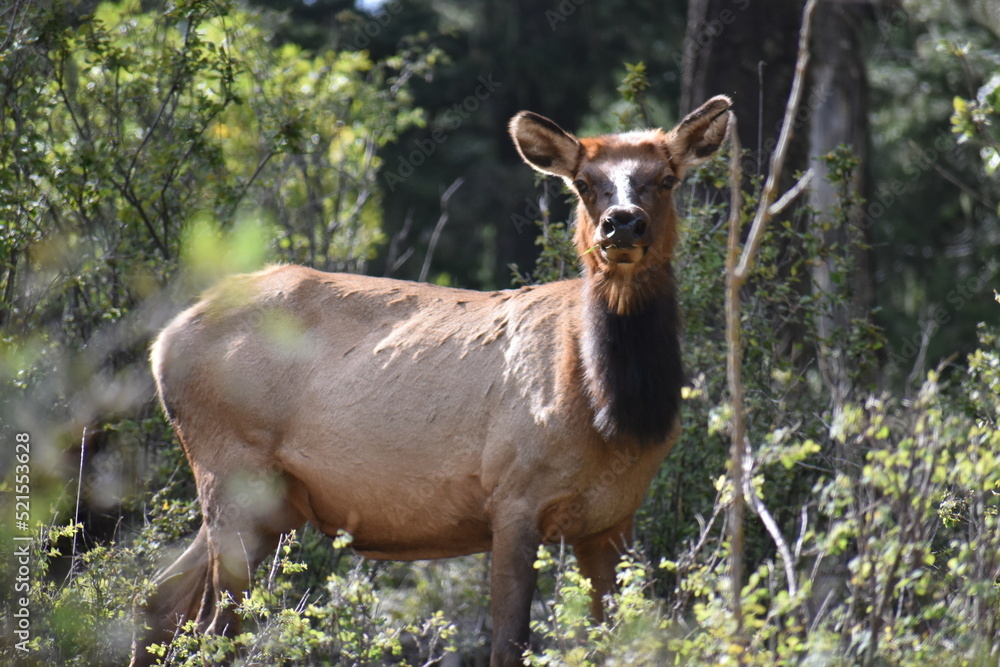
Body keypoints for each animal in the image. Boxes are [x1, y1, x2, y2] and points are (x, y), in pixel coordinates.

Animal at [133, 95, 732, 667]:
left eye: (667, 178)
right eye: (584, 183)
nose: (622, 223)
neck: (615, 415)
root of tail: (161, 344)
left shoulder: (612, 520)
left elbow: (618, 640)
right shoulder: (513, 496)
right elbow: (508, 645)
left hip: (270, 501)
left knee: (158, 598)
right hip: (232, 467)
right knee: (211, 628)